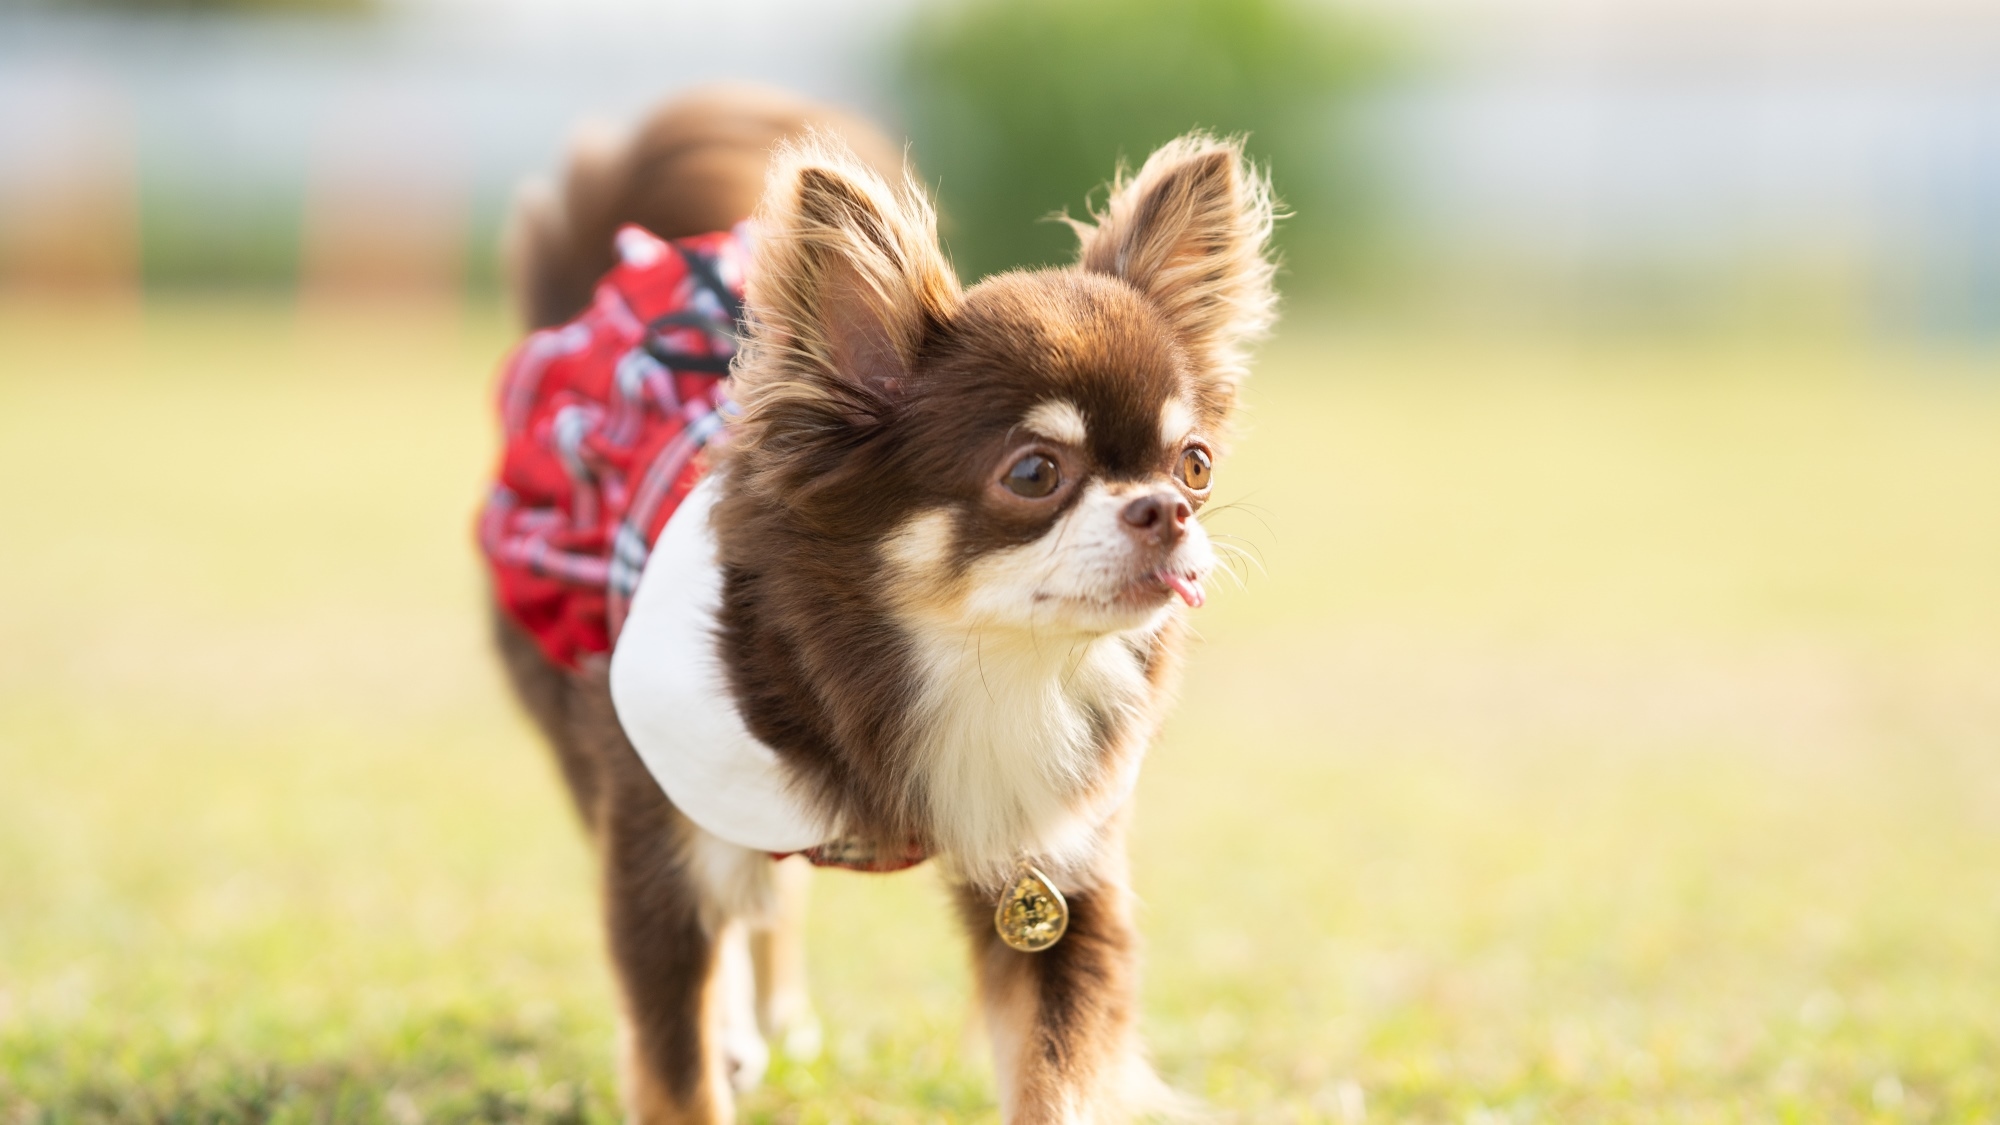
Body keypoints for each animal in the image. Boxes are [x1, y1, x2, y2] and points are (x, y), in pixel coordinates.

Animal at [492, 87, 1280, 1120]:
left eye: (1194, 464)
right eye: (1035, 471)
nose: (1168, 510)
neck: (981, 663)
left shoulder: (1055, 881)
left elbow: (1055, 1079)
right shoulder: (657, 839)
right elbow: (678, 1066)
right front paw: (711, 1054)